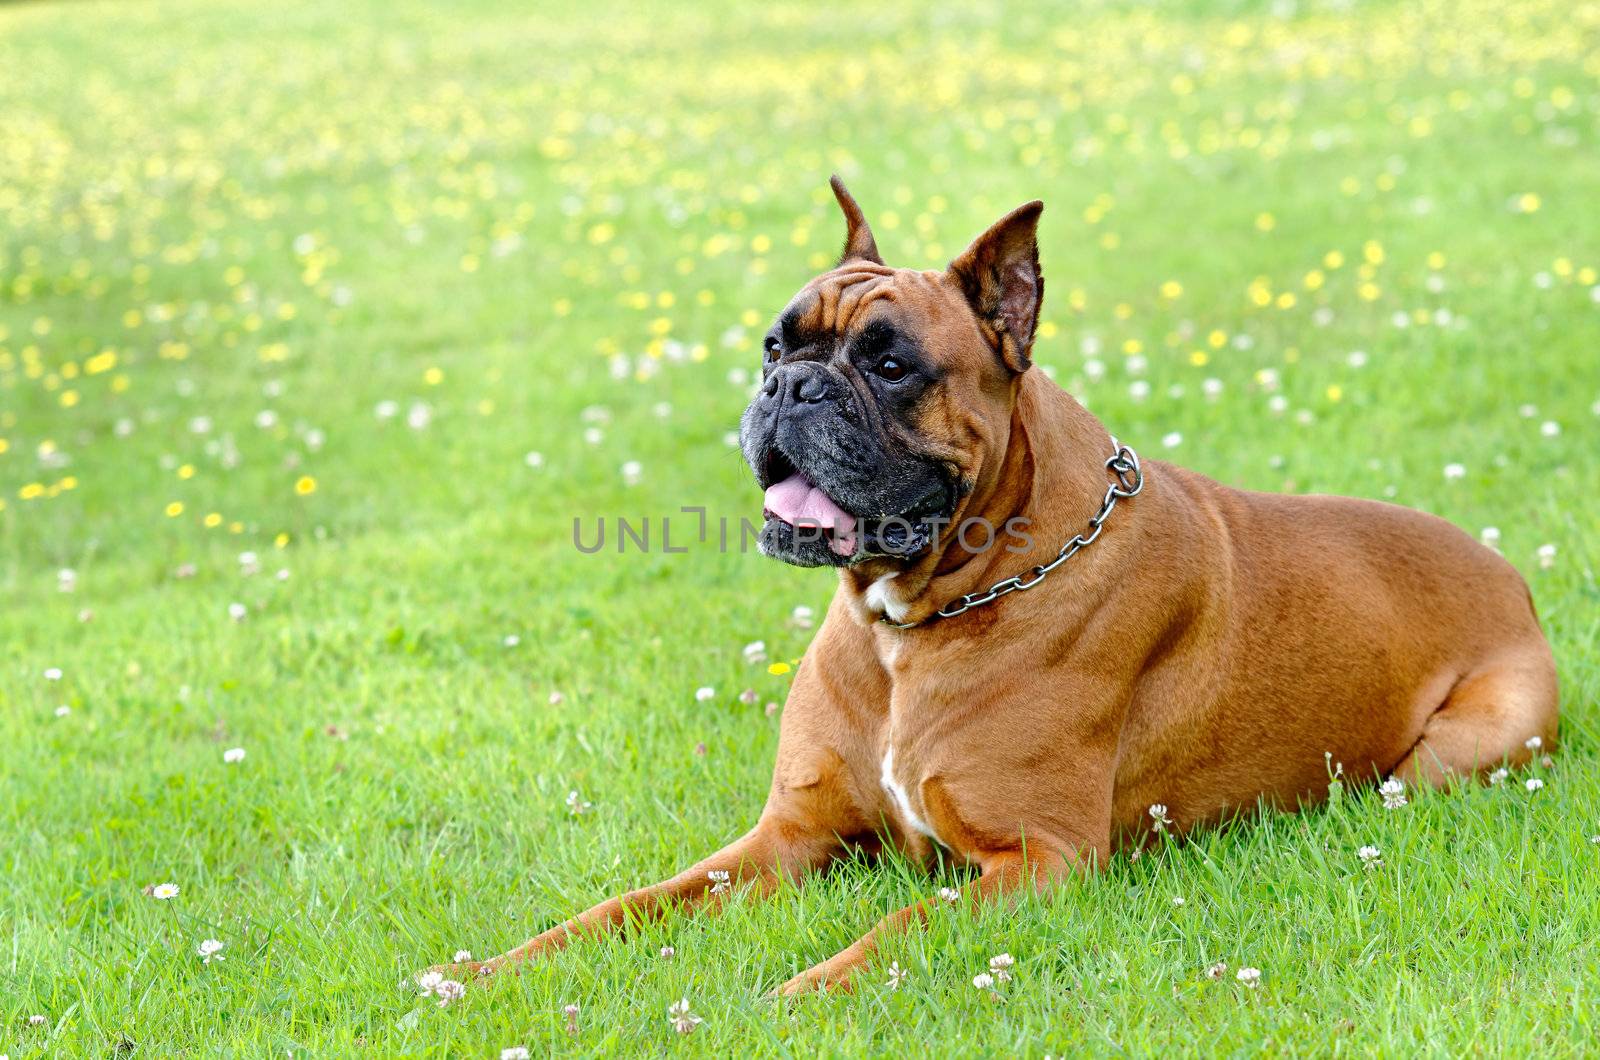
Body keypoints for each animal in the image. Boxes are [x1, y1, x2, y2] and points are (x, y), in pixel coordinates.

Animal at [441, 178, 1561, 999]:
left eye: (891, 364)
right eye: (774, 344)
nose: (790, 387)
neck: (918, 614)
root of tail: (1506, 569)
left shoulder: (1037, 859)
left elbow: (897, 928)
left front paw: (798, 994)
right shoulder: (786, 837)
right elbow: (632, 903)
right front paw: (494, 970)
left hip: (1453, 755)